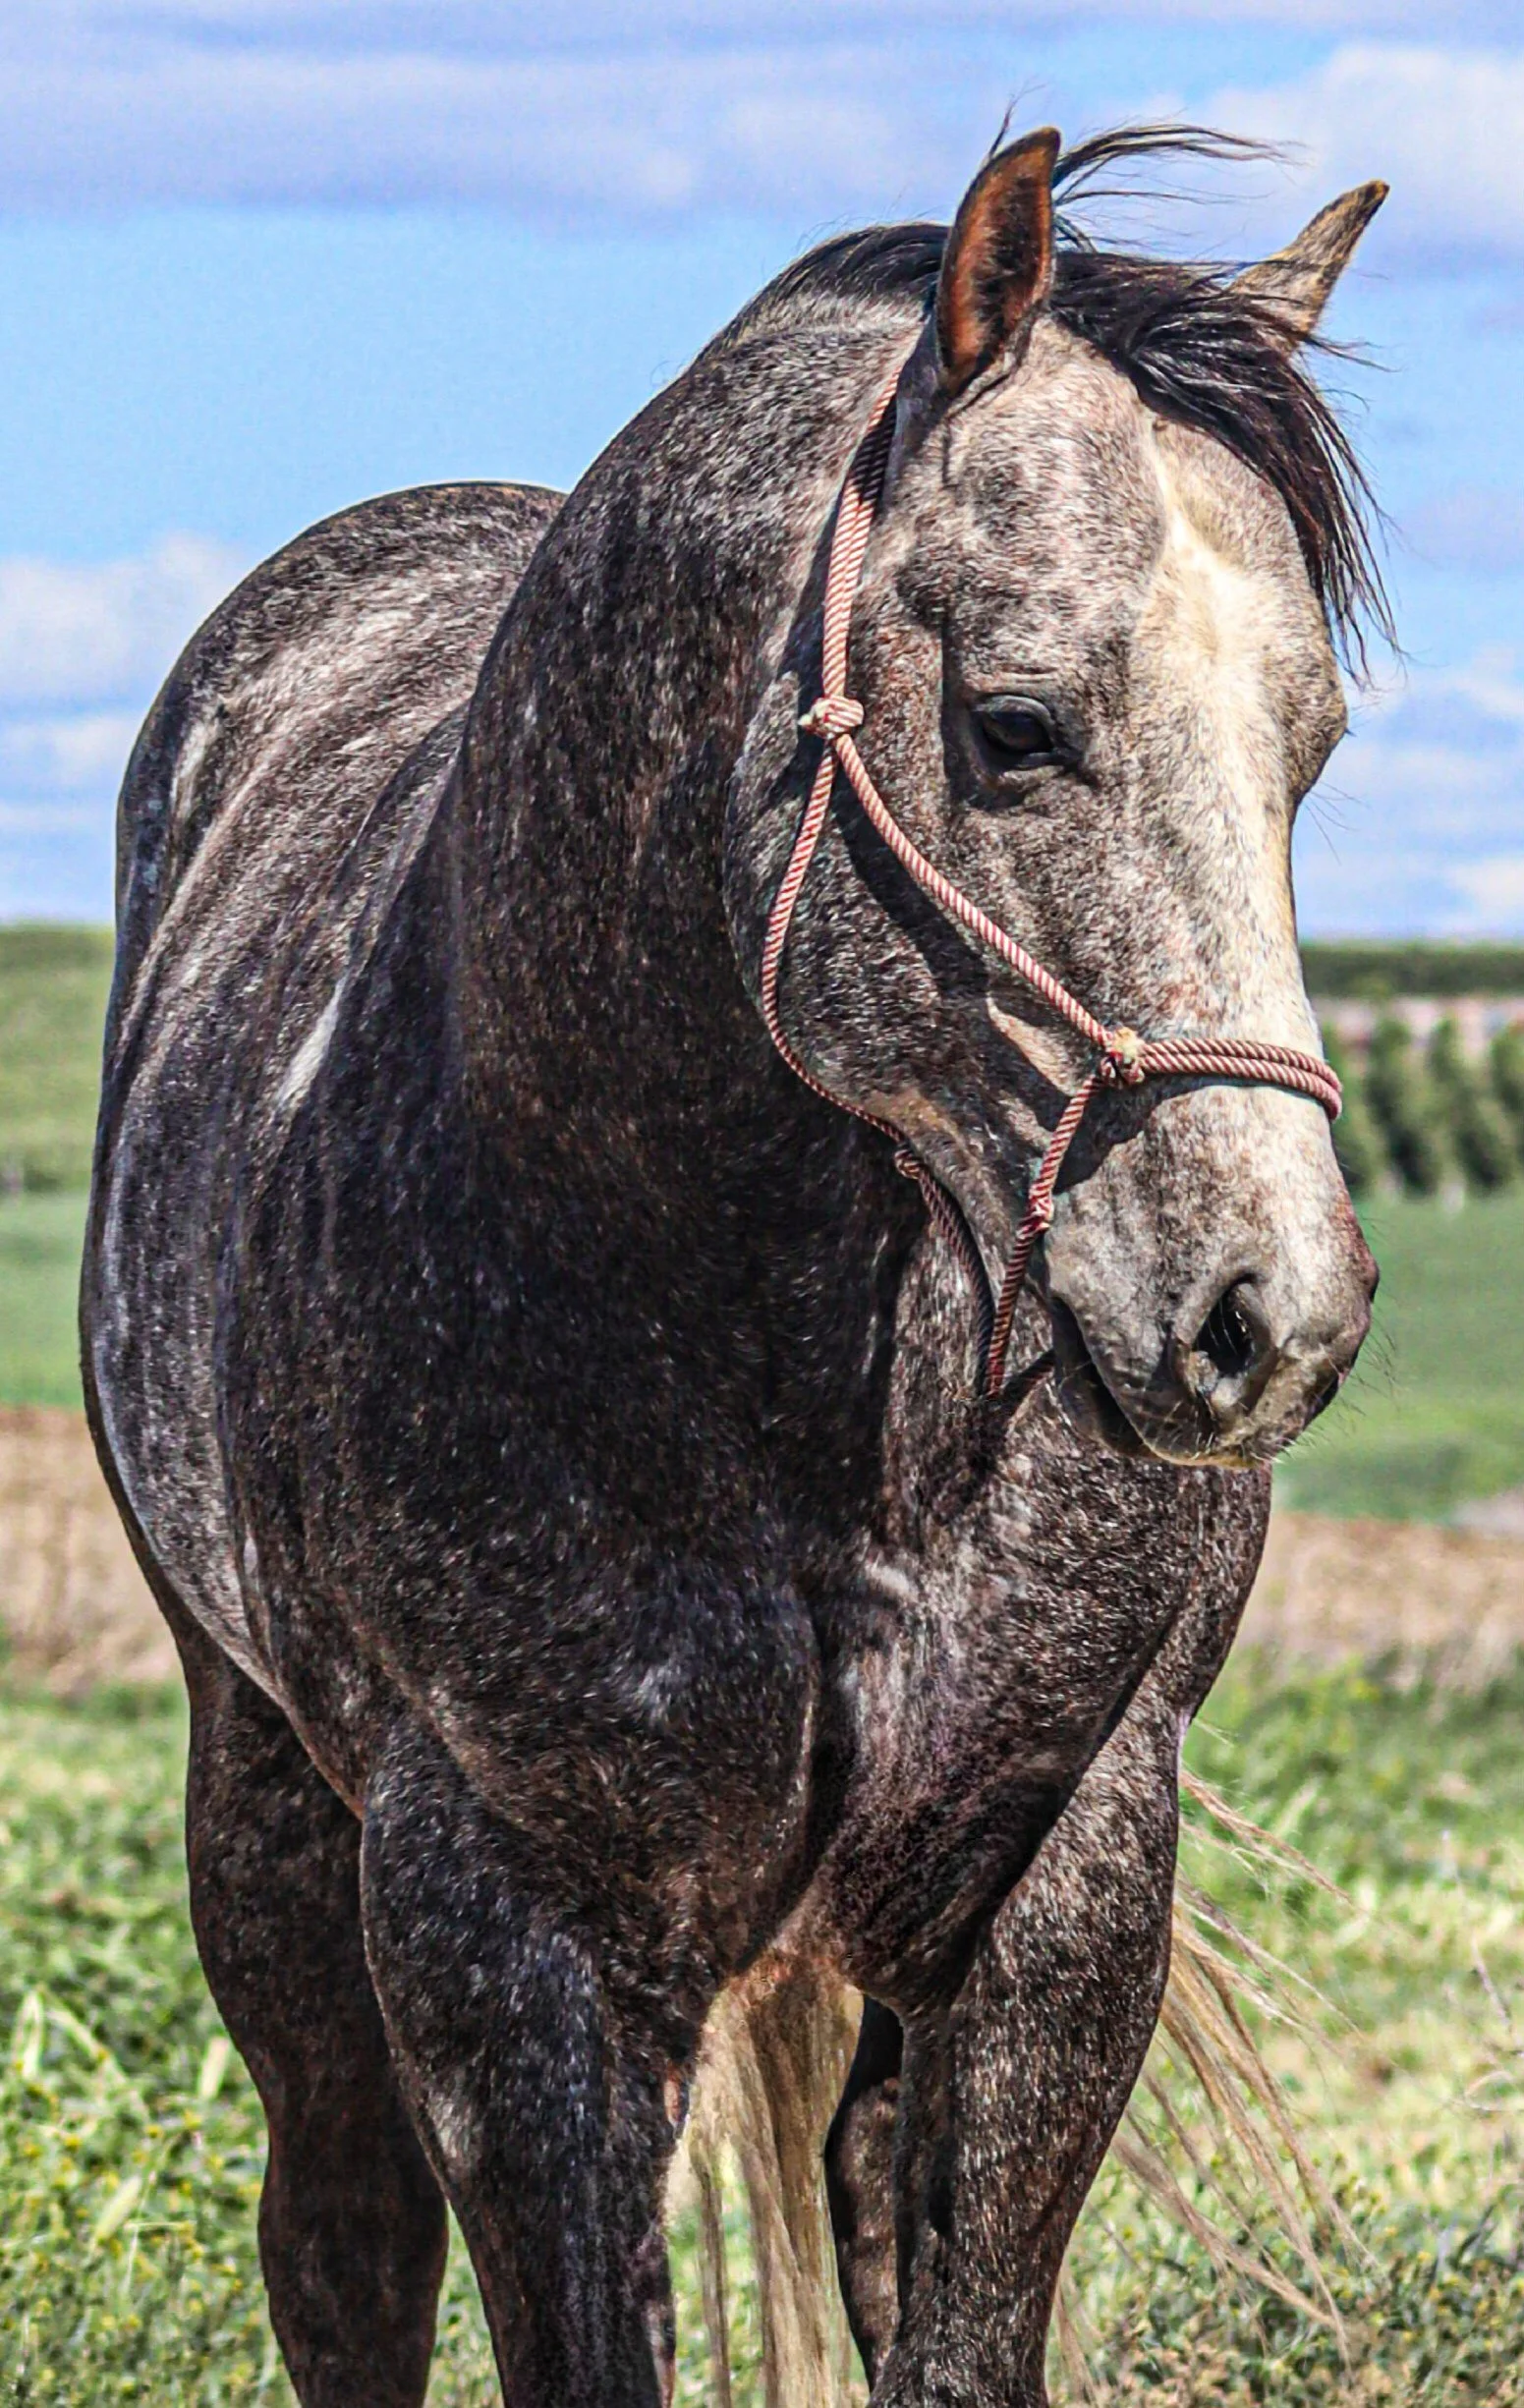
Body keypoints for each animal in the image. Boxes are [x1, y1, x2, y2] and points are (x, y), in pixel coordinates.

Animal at [82, 126, 1386, 2406]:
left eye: (1304, 745)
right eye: (1017, 722)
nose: (1270, 1315)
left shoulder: (1058, 1898)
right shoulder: (511, 1949)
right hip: (260, 1801)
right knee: (338, 2243)